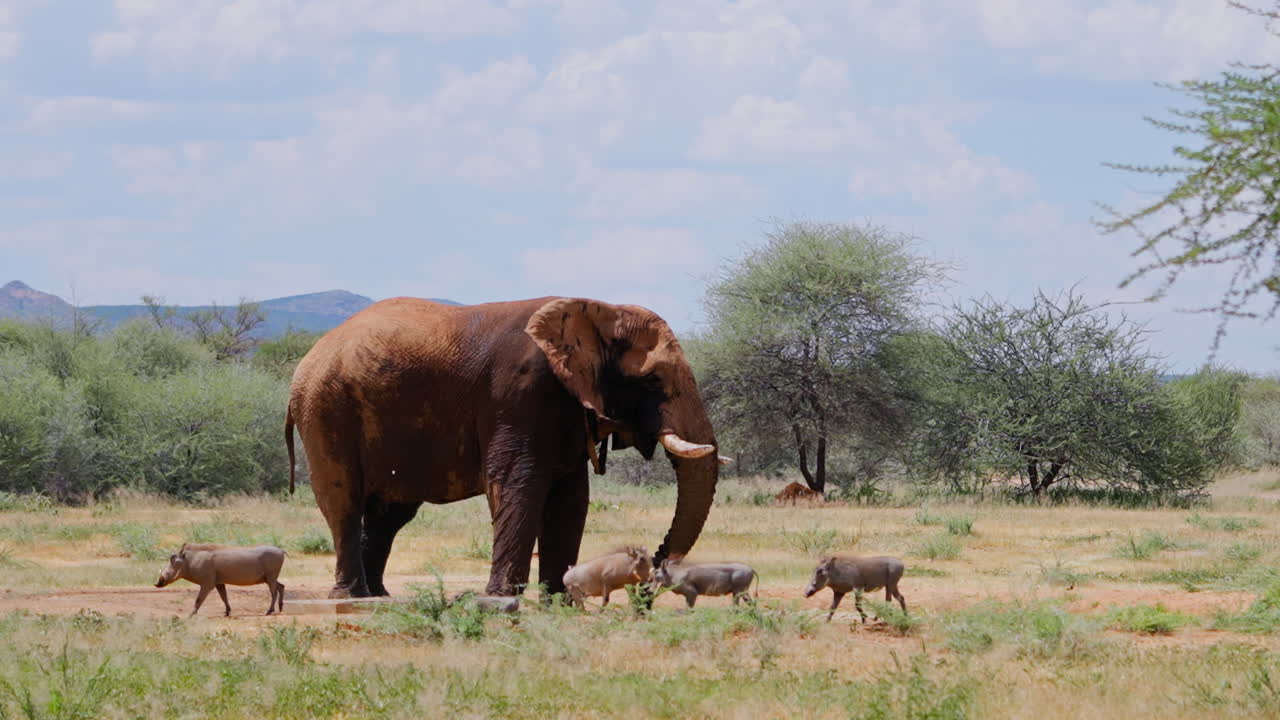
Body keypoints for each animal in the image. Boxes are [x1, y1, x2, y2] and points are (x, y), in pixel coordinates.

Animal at [285, 296, 722, 599]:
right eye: (653, 381)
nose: (649, 577)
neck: (599, 311)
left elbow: (570, 499)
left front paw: (559, 603)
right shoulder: (517, 393)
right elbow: (519, 485)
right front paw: (502, 601)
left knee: (389, 514)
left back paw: (377, 596)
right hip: (326, 409)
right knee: (343, 500)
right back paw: (350, 597)